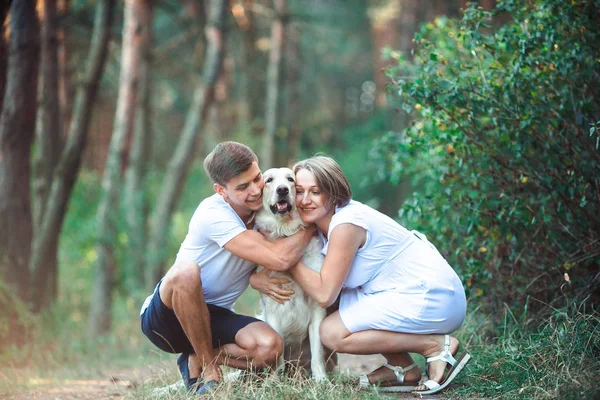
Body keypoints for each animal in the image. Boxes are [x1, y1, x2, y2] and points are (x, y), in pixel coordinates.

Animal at [254, 166, 328, 382]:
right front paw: (274, 381)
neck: (285, 231)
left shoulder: (317, 307)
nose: (282, 190)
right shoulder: (272, 307)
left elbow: (317, 350)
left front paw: (321, 380)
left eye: (291, 179)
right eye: (269, 180)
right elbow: (277, 351)